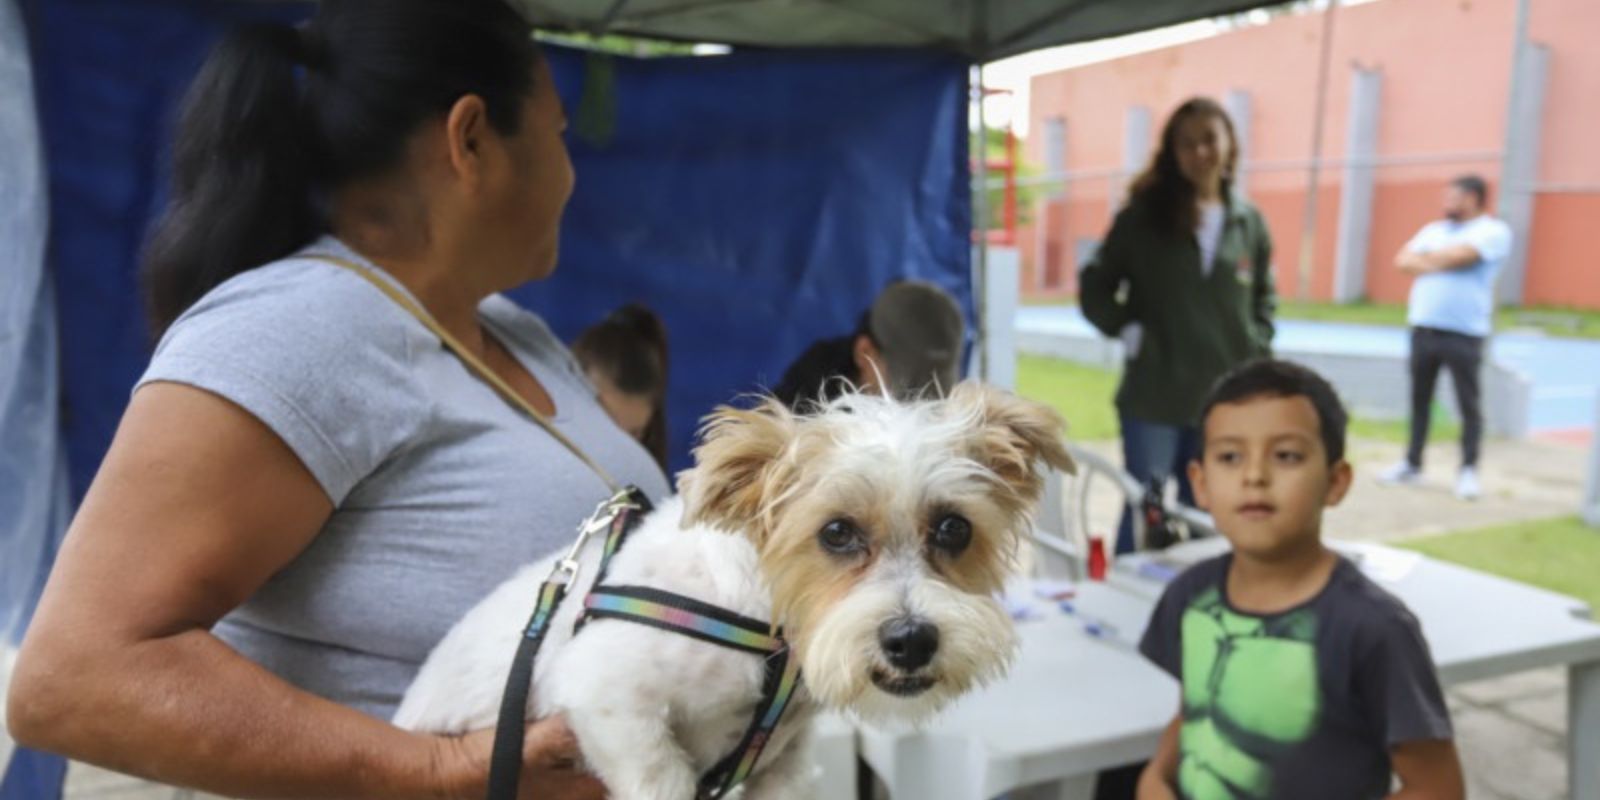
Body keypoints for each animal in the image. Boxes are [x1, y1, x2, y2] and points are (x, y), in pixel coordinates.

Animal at [393, 384, 1075, 796]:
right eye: (836, 532)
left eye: (954, 528)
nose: (912, 640)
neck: (767, 629)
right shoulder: (604, 699)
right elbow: (660, 776)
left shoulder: (787, 760)